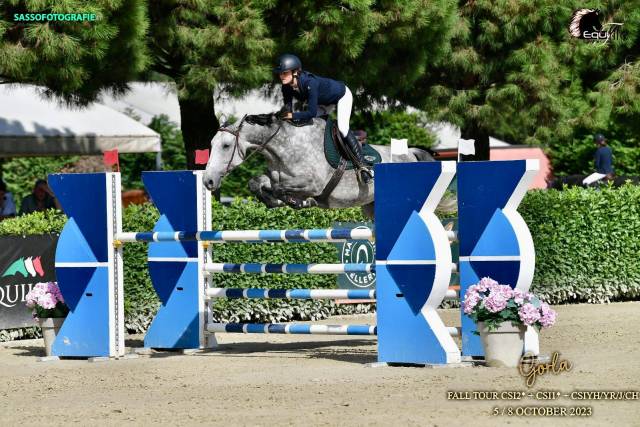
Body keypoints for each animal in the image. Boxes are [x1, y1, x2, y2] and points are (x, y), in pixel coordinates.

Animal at [204, 113, 440, 219]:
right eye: (211, 144)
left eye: (226, 146)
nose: (208, 181)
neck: (285, 147)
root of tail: (411, 154)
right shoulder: (274, 176)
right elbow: (257, 183)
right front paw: (273, 201)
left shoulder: (313, 183)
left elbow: (281, 189)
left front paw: (300, 202)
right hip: (371, 207)